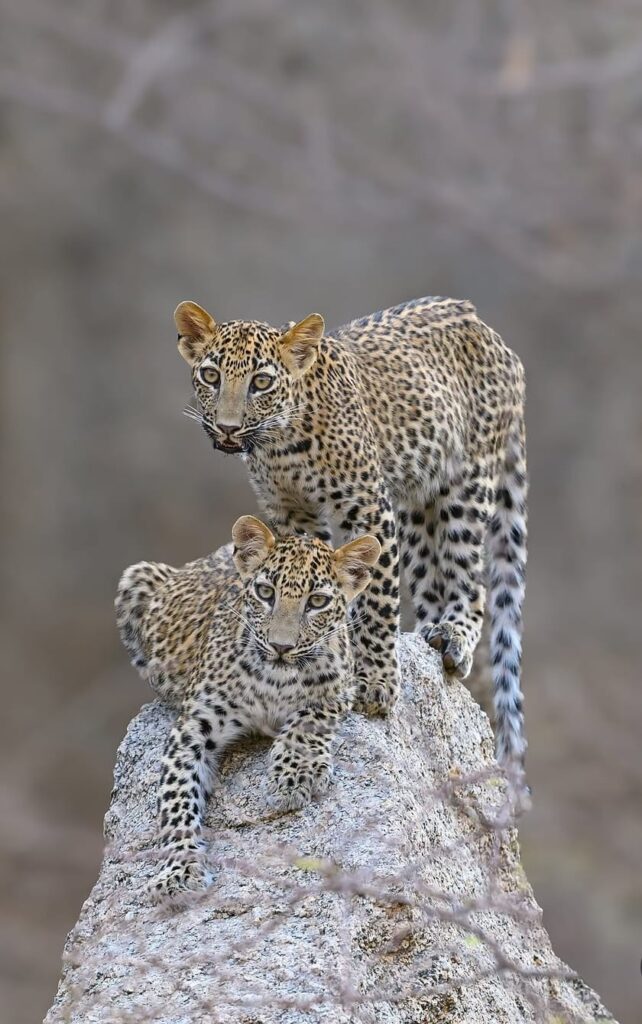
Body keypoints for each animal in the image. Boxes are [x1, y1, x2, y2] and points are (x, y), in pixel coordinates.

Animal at [115, 514, 380, 897]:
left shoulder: (341, 688)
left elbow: (307, 721)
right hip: (136, 576)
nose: (281, 647)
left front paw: (293, 778)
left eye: (317, 601)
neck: (276, 682)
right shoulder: (192, 726)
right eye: (266, 593)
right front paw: (179, 871)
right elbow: (177, 798)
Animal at [173, 295, 529, 796]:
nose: (227, 428)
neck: (280, 445)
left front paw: (376, 683)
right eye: (210, 375)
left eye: (261, 381)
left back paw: (454, 637)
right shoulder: (289, 514)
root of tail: (487, 328)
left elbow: (376, 600)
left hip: (466, 484)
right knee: (428, 574)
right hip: (416, 503)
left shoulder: (368, 506)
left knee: (471, 581)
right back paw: (431, 634)